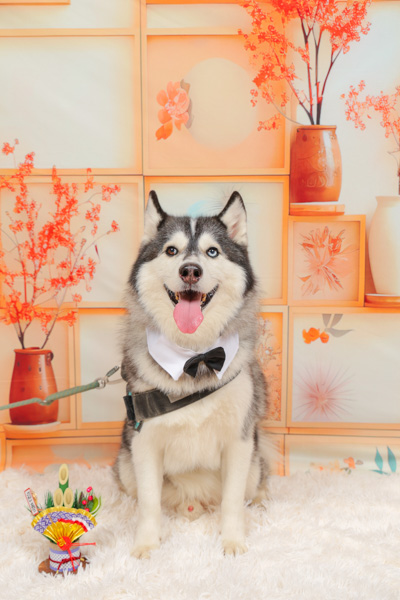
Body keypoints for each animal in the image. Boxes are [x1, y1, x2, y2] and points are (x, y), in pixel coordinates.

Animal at [114, 190, 269, 558]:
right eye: (172, 250)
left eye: (212, 251)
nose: (190, 271)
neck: (194, 356)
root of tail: (194, 502)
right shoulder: (144, 442)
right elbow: (149, 504)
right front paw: (146, 545)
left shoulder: (239, 441)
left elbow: (232, 502)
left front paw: (232, 541)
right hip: (125, 461)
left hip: (255, 460)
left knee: (249, 488)